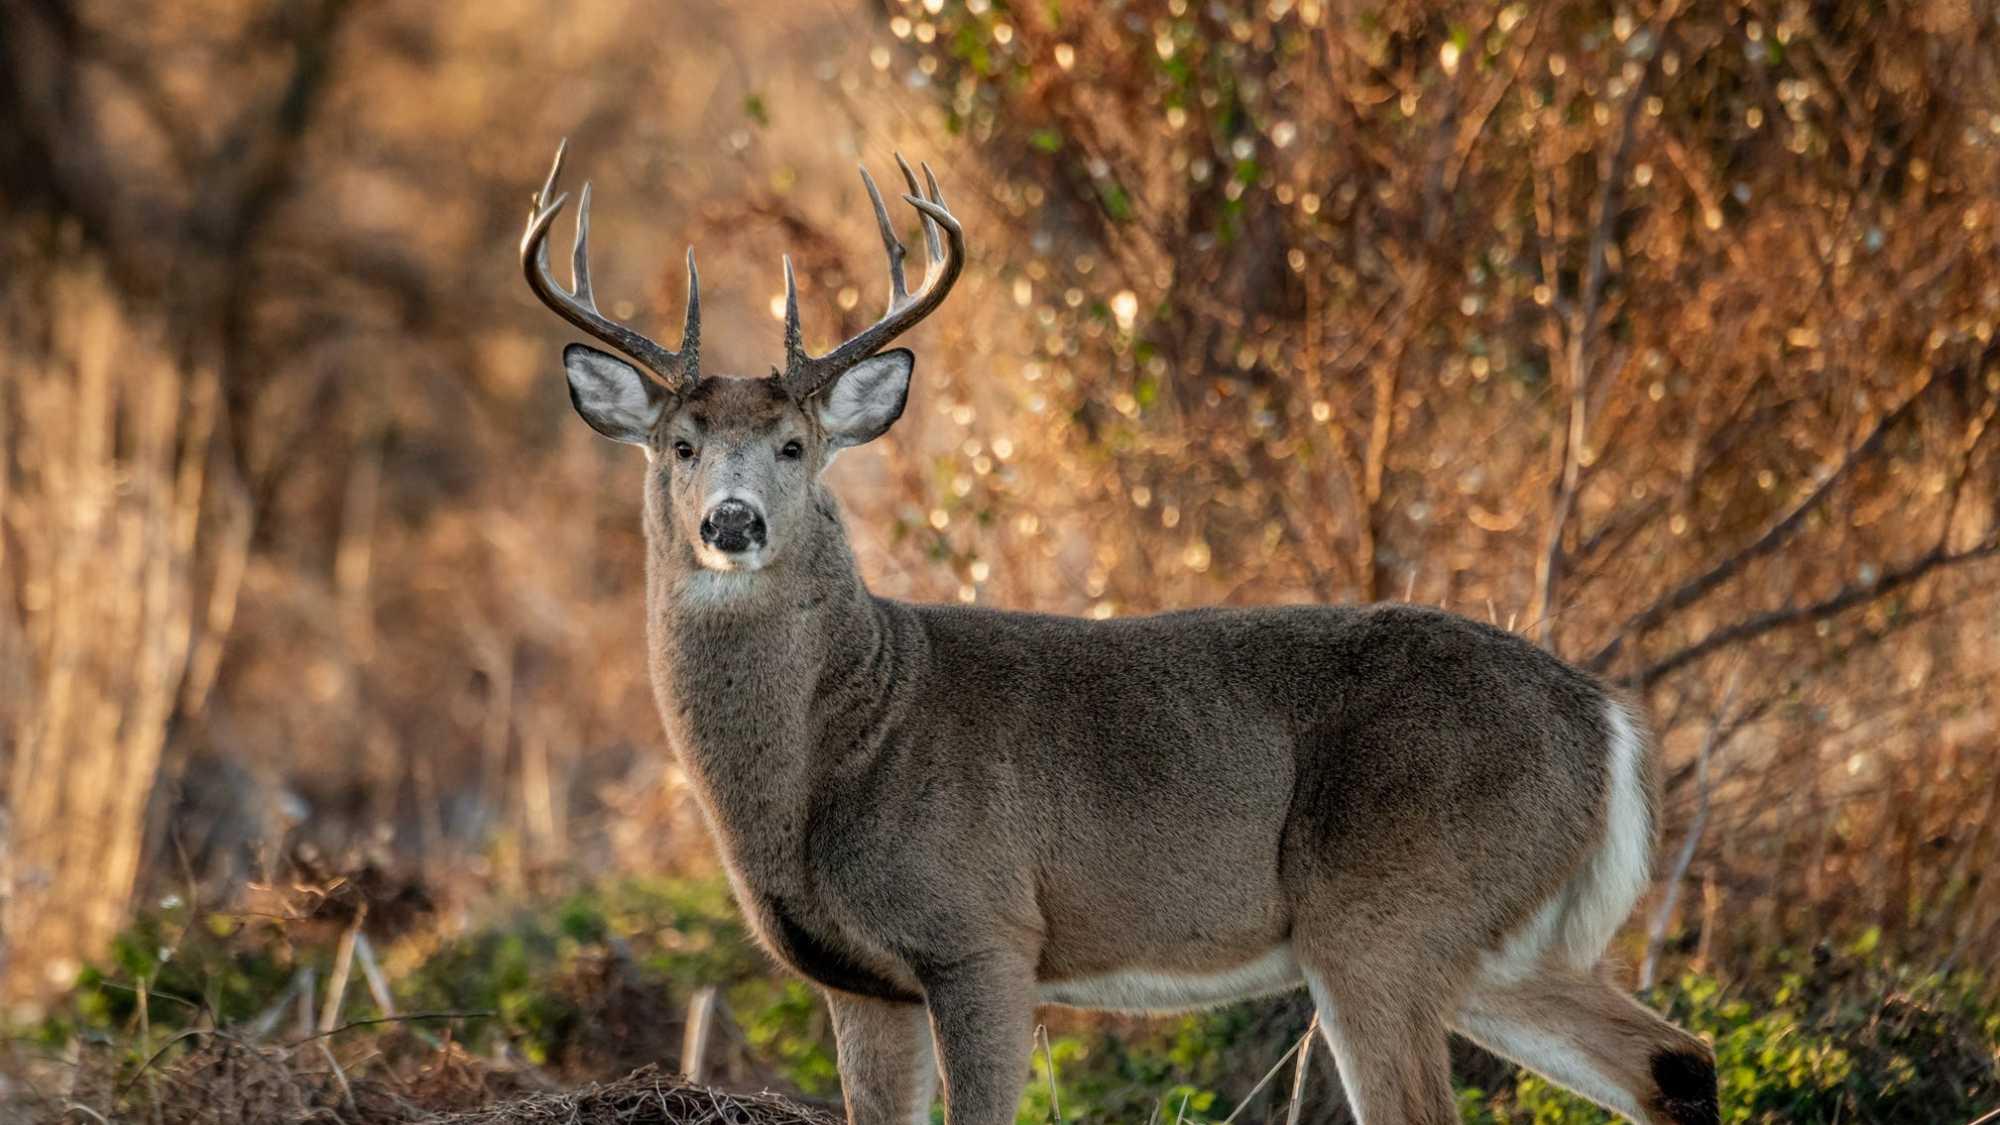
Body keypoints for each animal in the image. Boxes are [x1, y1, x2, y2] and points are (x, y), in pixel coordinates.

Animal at [516, 142, 1720, 1120]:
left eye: (795, 445)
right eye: (678, 444)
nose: (732, 521)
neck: (841, 746)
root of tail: (1607, 719)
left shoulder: (983, 932)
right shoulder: (857, 980)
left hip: (1388, 911)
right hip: (1492, 940)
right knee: (1678, 1063)